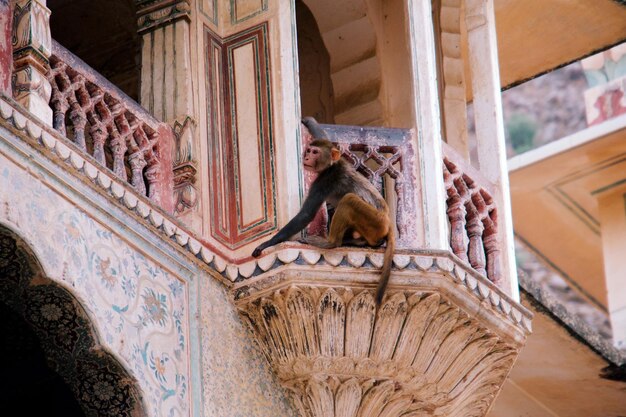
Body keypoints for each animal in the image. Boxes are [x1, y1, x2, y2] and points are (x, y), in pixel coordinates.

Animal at [250, 115, 392, 304]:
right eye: (310, 150)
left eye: (315, 152)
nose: (307, 157)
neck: (331, 166)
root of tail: (388, 223)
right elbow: (326, 137)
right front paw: (309, 122)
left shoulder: (324, 181)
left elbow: (306, 214)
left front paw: (267, 243)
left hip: (375, 221)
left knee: (349, 200)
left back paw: (332, 242)